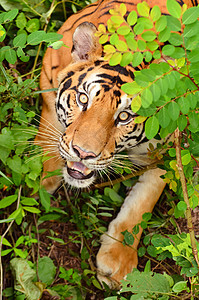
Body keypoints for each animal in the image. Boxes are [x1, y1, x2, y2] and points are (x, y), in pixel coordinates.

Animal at [36, 0, 197, 288]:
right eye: (83, 99)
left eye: (124, 117)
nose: (83, 153)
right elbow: (50, 127)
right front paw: (43, 181)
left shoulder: (166, 147)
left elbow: (142, 203)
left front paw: (117, 261)